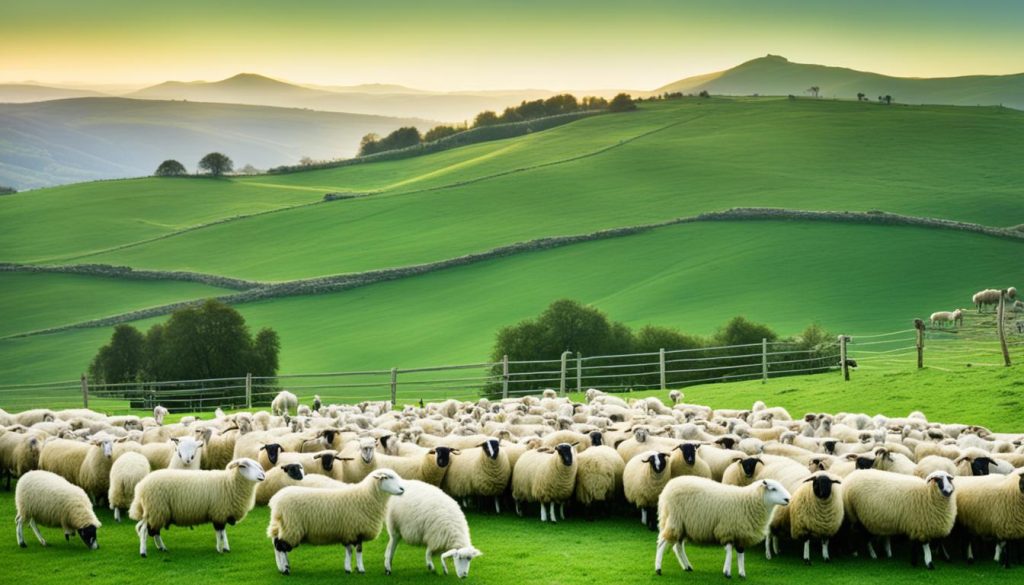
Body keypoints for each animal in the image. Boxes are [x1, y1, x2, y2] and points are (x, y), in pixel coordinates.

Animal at [128, 456, 266, 557]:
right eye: (243, 466)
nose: (262, 476)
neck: (229, 483)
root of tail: (141, 486)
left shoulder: (221, 513)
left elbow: (222, 532)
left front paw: (225, 548)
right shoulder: (219, 511)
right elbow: (220, 533)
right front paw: (220, 549)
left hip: (155, 512)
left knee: (152, 530)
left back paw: (161, 547)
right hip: (155, 509)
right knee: (145, 530)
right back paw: (143, 552)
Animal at [266, 469, 405, 573]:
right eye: (387, 477)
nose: (402, 489)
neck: (366, 495)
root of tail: (275, 500)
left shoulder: (349, 531)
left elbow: (349, 550)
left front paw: (348, 568)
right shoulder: (357, 529)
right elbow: (358, 550)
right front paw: (361, 569)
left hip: (283, 526)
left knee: (277, 545)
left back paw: (282, 566)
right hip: (292, 527)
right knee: (281, 547)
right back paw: (285, 569)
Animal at [655, 477, 790, 577]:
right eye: (773, 489)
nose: (788, 499)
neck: (748, 501)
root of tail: (669, 485)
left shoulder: (741, 533)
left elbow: (741, 553)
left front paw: (742, 574)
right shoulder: (728, 530)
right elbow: (729, 551)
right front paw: (727, 572)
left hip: (683, 526)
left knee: (678, 546)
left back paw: (687, 567)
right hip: (673, 521)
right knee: (662, 544)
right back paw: (658, 569)